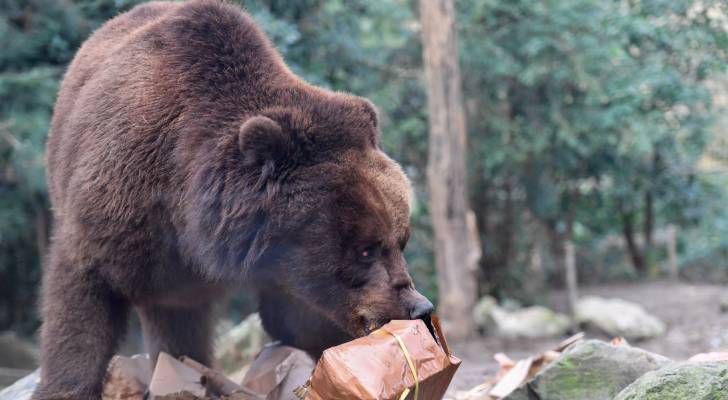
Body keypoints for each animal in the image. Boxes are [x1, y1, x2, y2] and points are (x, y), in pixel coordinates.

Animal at [34, 1, 432, 398]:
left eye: (401, 240)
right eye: (365, 249)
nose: (419, 307)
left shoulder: (284, 277)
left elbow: (300, 321)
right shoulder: (117, 208)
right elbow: (81, 304)